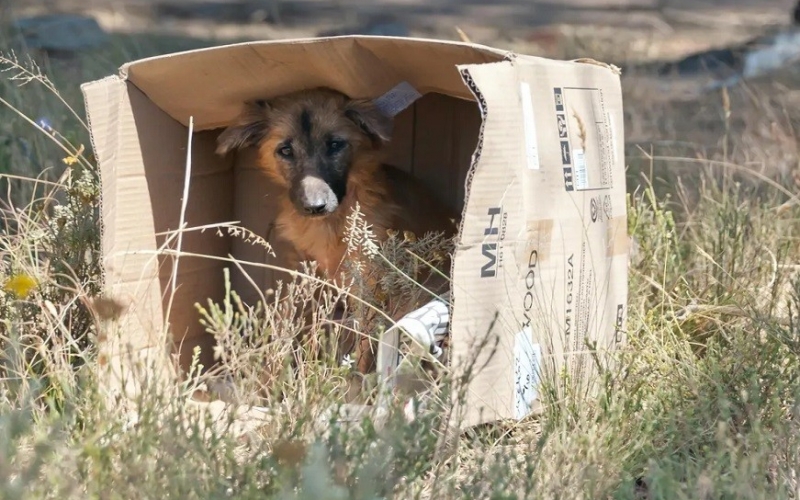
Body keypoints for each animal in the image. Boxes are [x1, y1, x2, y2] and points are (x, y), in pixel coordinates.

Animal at [216, 87, 460, 376]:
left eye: (335, 144)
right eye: (285, 150)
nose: (315, 207)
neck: (329, 225)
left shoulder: (368, 286)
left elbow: (365, 343)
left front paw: (357, 378)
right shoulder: (307, 274)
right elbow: (301, 322)